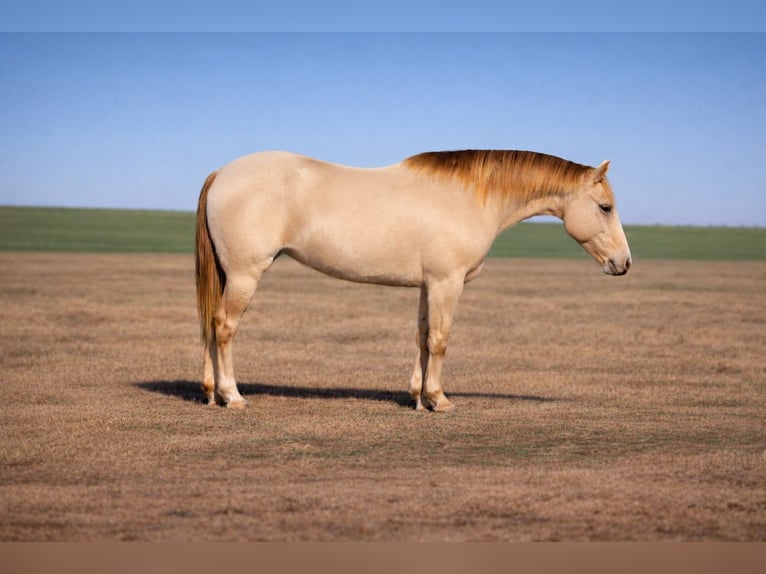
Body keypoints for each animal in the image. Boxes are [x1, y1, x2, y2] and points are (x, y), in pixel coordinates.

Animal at [195, 150, 631, 412]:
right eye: (605, 207)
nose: (624, 263)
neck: (470, 197)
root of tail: (222, 173)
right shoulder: (446, 283)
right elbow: (440, 340)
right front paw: (440, 399)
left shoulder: (428, 286)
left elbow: (422, 337)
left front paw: (419, 398)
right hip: (245, 275)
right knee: (225, 327)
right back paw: (233, 396)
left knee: (211, 325)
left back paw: (210, 393)